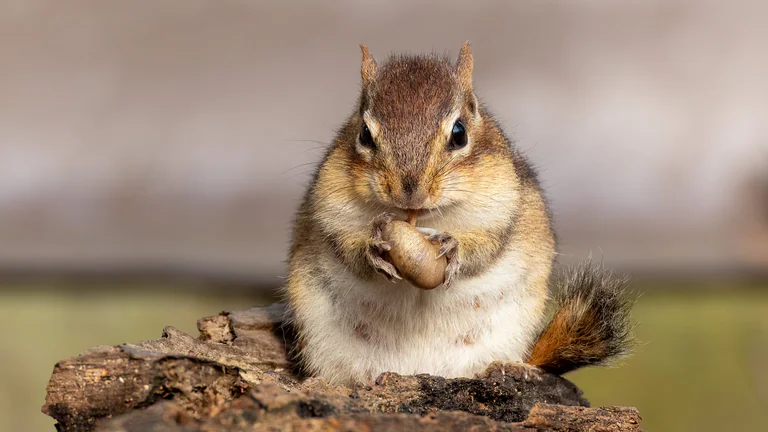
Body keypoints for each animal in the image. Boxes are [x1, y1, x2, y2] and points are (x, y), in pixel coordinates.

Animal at [283, 42, 634, 386]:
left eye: (459, 133)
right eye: (365, 135)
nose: (410, 192)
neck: (422, 220)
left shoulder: (503, 206)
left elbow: (485, 248)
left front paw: (453, 247)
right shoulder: (330, 208)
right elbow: (345, 246)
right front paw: (373, 248)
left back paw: (507, 367)